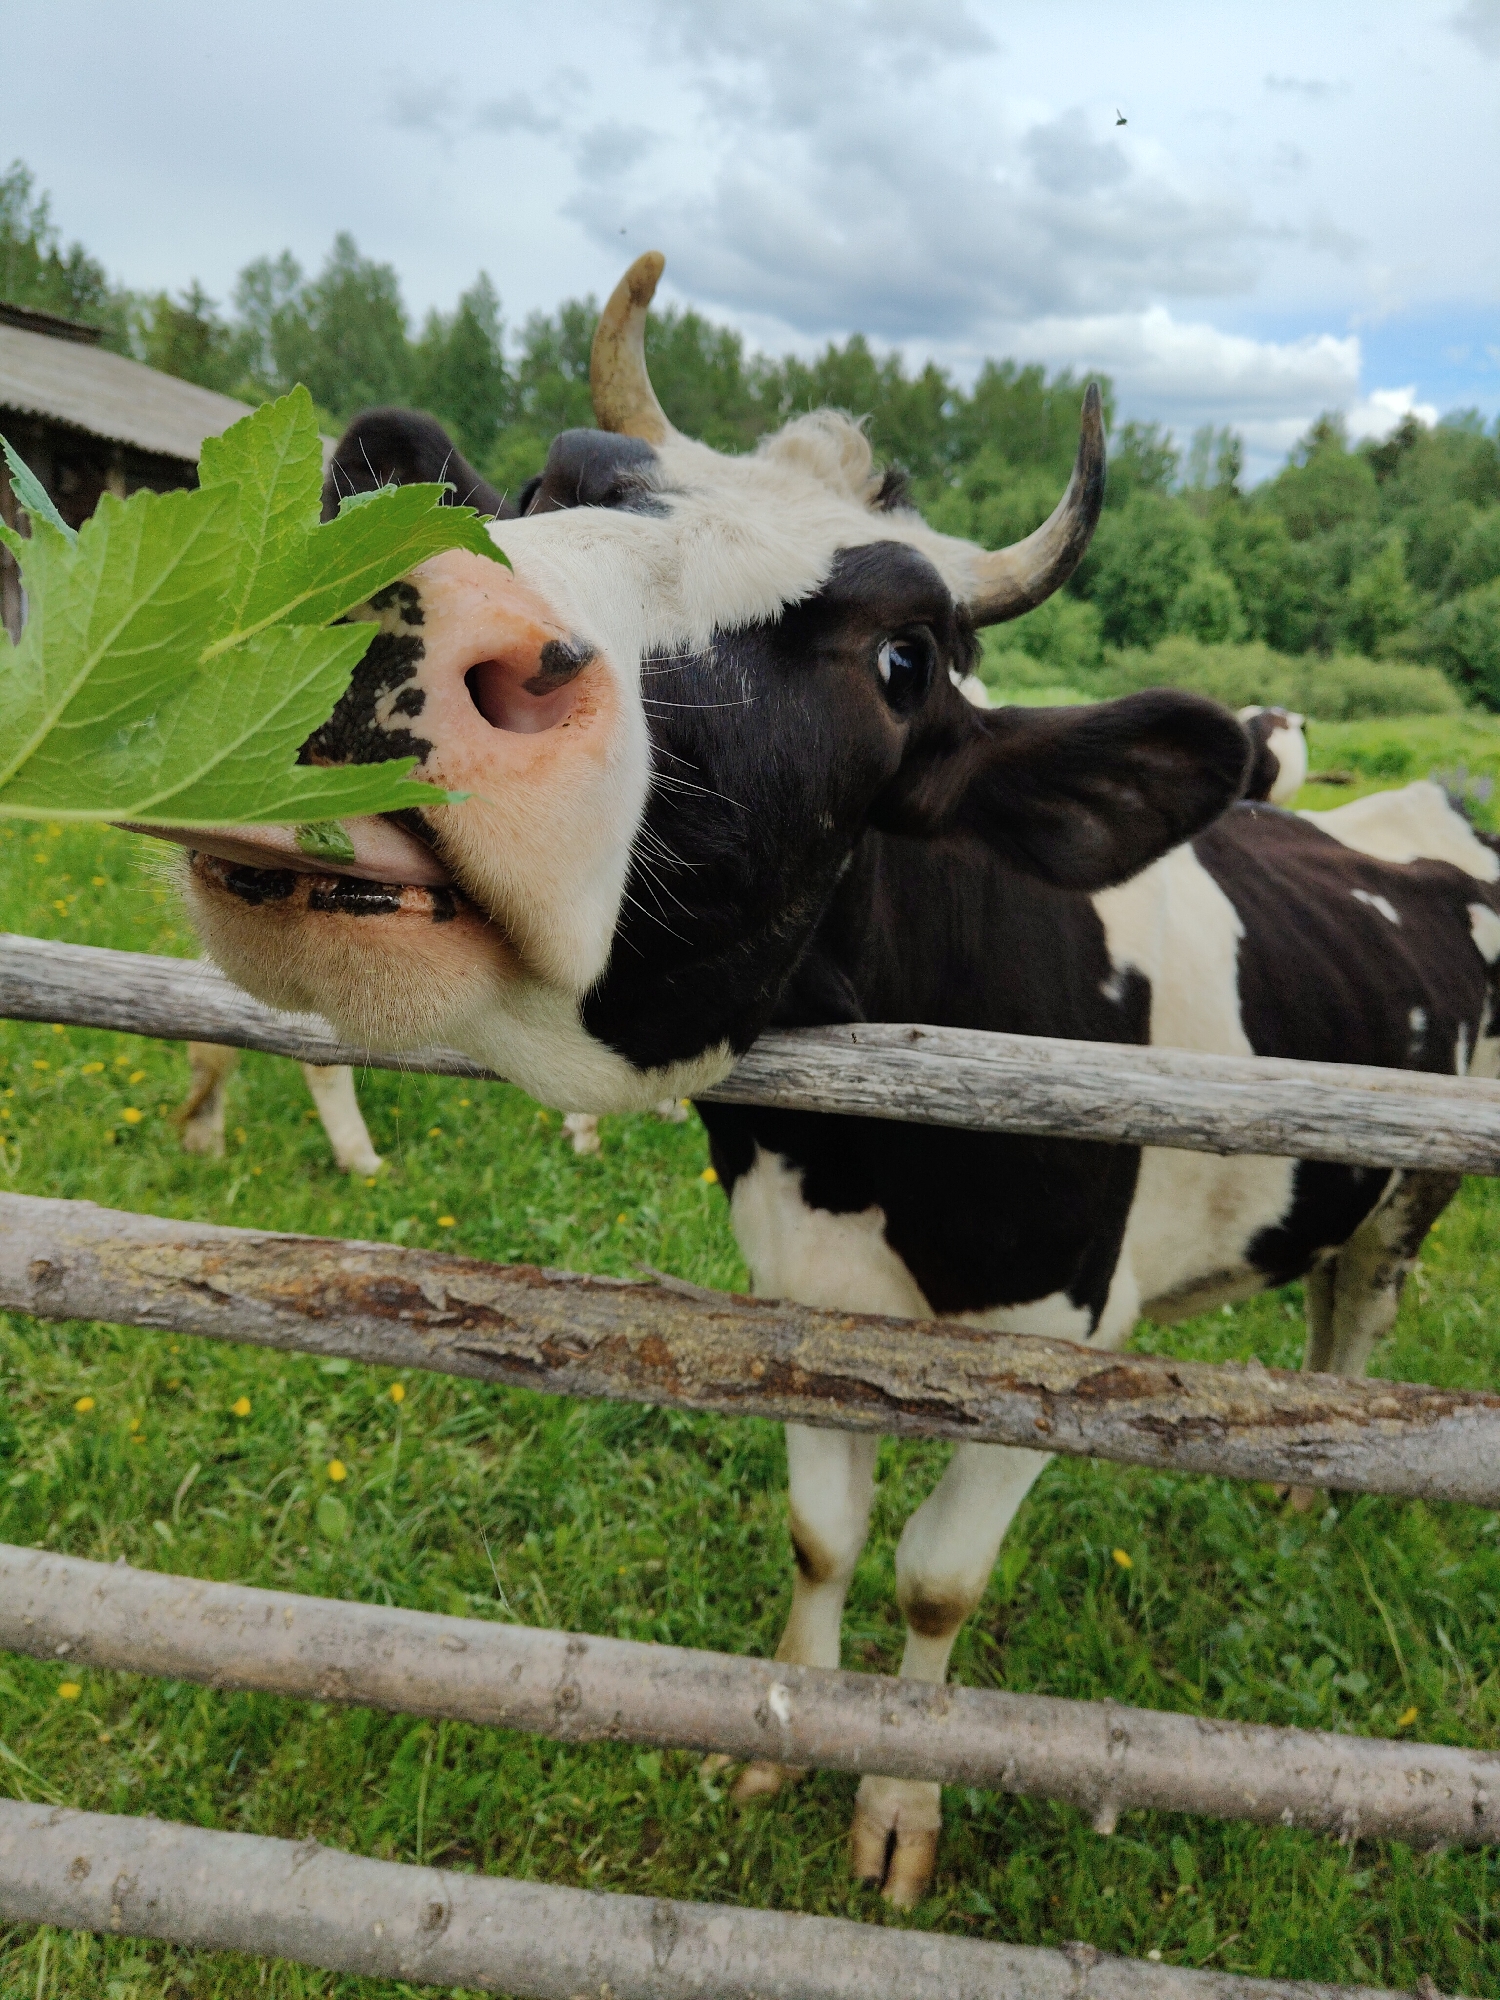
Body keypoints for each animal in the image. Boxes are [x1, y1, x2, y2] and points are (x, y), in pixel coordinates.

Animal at [135, 254, 1500, 1907]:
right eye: (550, 485)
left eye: (905, 660)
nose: (417, 606)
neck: (859, 1165)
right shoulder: (798, 1304)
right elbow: (824, 1541)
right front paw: (776, 1733)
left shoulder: (1062, 1346)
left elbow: (936, 1584)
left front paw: (901, 1801)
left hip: (1415, 1185)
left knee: (1359, 1308)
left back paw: (1310, 1492)